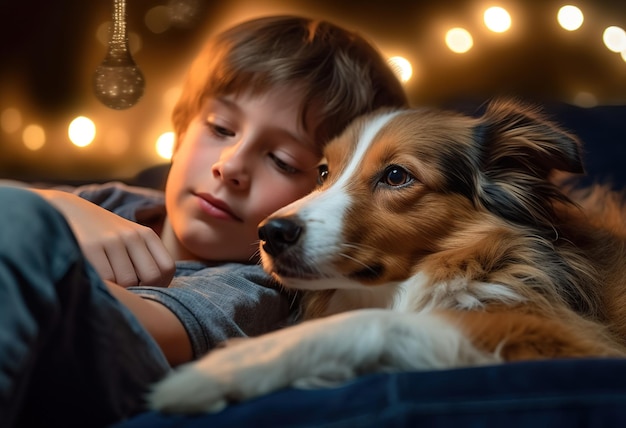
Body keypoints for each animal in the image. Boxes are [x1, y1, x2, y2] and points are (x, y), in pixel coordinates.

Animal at [149, 98, 624, 412]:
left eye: (396, 175)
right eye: (323, 172)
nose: (270, 233)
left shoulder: (567, 339)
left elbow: (374, 322)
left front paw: (232, 365)